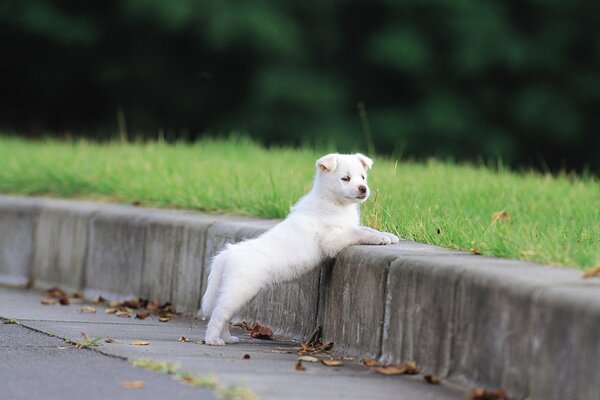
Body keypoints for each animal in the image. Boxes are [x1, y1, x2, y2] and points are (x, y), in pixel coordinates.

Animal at [199, 152, 400, 346]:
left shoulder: (344, 228)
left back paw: (227, 338)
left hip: (242, 294)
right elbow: (358, 232)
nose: (363, 188)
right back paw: (213, 340)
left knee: (225, 316)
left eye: (363, 177)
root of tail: (228, 253)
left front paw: (388, 235)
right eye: (346, 178)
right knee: (218, 314)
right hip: (239, 290)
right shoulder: (333, 239)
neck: (333, 203)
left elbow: (365, 229)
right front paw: (379, 238)